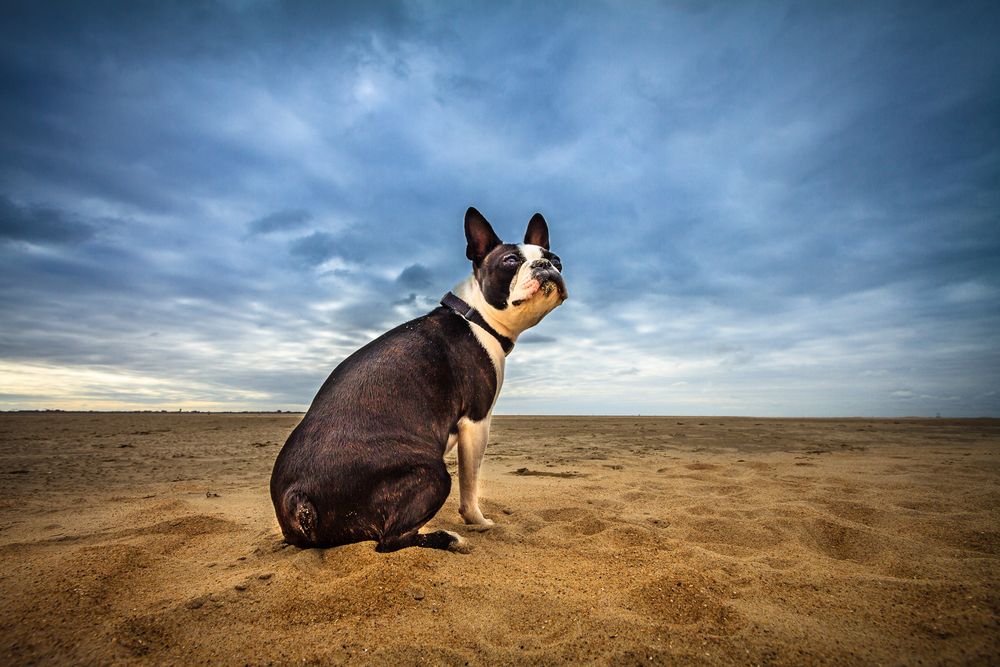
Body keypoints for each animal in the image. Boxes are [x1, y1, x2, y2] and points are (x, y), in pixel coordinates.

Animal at [270, 209, 568, 552]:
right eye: (510, 260)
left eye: (556, 259)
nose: (547, 265)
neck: (475, 316)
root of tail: (297, 498)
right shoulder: (476, 421)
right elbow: (470, 485)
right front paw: (478, 521)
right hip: (433, 472)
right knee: (388, 540)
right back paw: (449, 538)